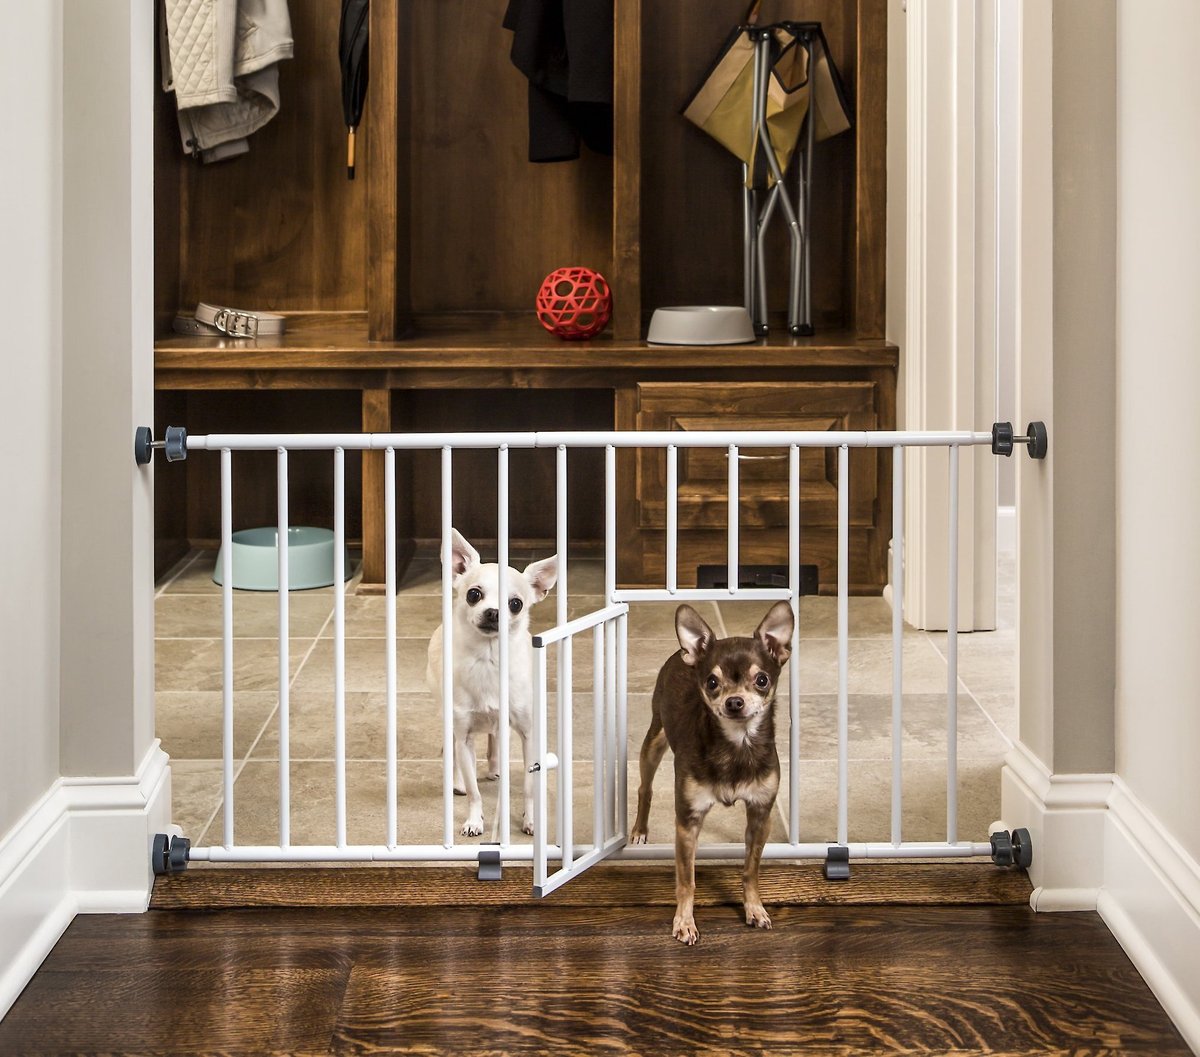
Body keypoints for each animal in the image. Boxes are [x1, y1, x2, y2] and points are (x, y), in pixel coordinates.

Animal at [427, 532, 556, 835]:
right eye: (474, 594)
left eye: (516, 604)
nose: (493, 612)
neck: (488, 658)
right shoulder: (463, 735)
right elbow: (474, 790)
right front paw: (474, 820)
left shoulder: (528, 734)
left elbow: (529, 786)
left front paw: (531, 820)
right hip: (447, 717)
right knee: (452, 752)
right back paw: (457, 782)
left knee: (495, 737)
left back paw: (495, 767)